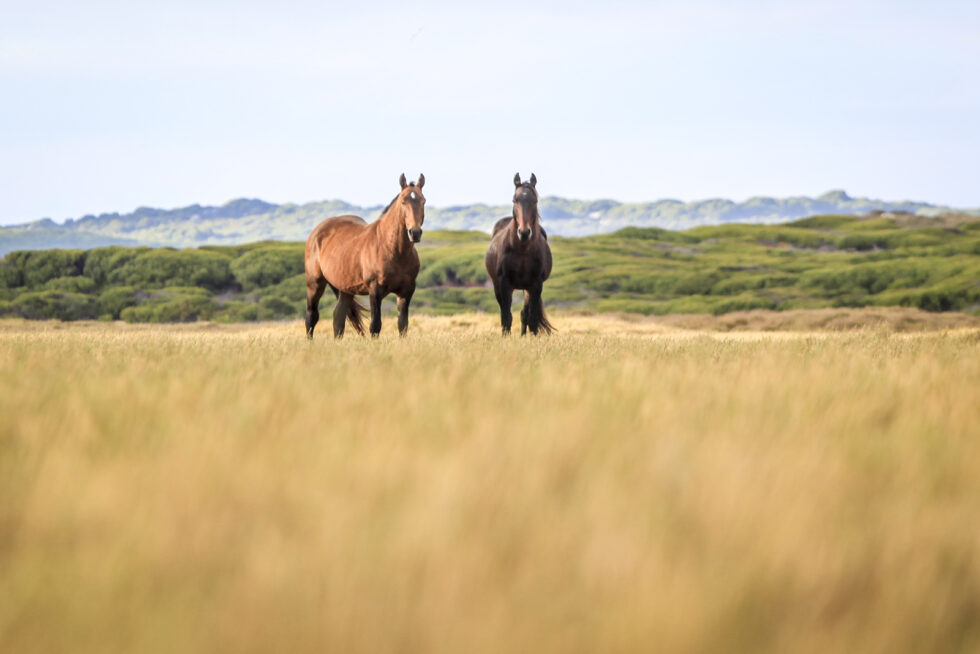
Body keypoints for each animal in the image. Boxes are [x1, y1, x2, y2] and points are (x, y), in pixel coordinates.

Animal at [304, 173, 425, 339]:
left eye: (423, 201)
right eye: (403, 201)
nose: (415, 233)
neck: (392, 250)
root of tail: (317, 231)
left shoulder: (406, 291)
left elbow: (403, 326)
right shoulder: (375, 291)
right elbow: (375, 326)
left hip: (345, 289)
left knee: (338, 317)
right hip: (315, 284)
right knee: (311, 317)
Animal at [485, 173, 554, 335]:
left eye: (535, 200)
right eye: (515, 200)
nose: (524, 232)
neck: (522, 250)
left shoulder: (536, 285)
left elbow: (532, 319)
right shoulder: (504, 284)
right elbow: (506, 317)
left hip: (527, 289)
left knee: (525, 314)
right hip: (498, 287)